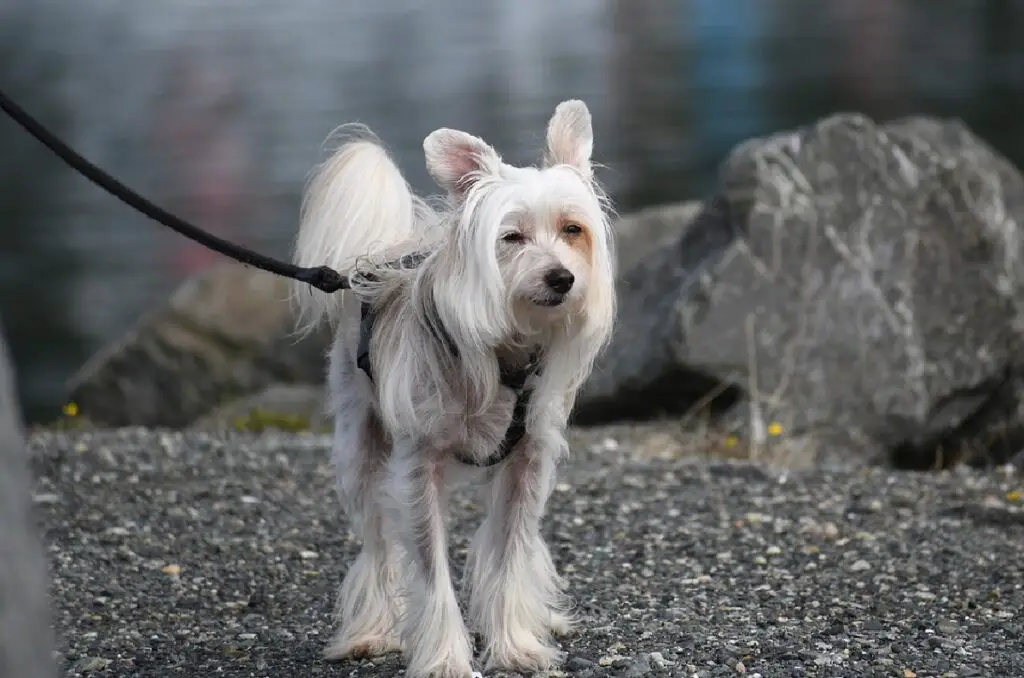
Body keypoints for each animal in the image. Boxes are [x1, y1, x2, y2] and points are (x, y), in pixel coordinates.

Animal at [292, 100, 614, 678]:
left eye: (573, 229)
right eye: (511, 238)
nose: (562, 278)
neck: (507, 354)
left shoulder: (528, 464)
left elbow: (509, 556)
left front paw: (516, 644)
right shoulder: (417, 470)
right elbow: (430, 573)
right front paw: (445, 657)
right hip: (359, 447)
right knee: (378, 547)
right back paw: (372, 629)